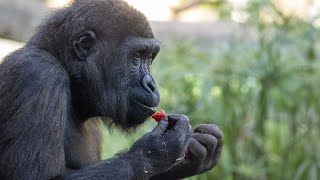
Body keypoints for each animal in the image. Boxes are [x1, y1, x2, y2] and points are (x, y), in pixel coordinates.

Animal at [0, 0, 222, 179]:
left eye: (149, 57)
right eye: (137, 56)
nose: (151, 84)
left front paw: (192, 157)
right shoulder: (38, 75)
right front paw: (156, 150)